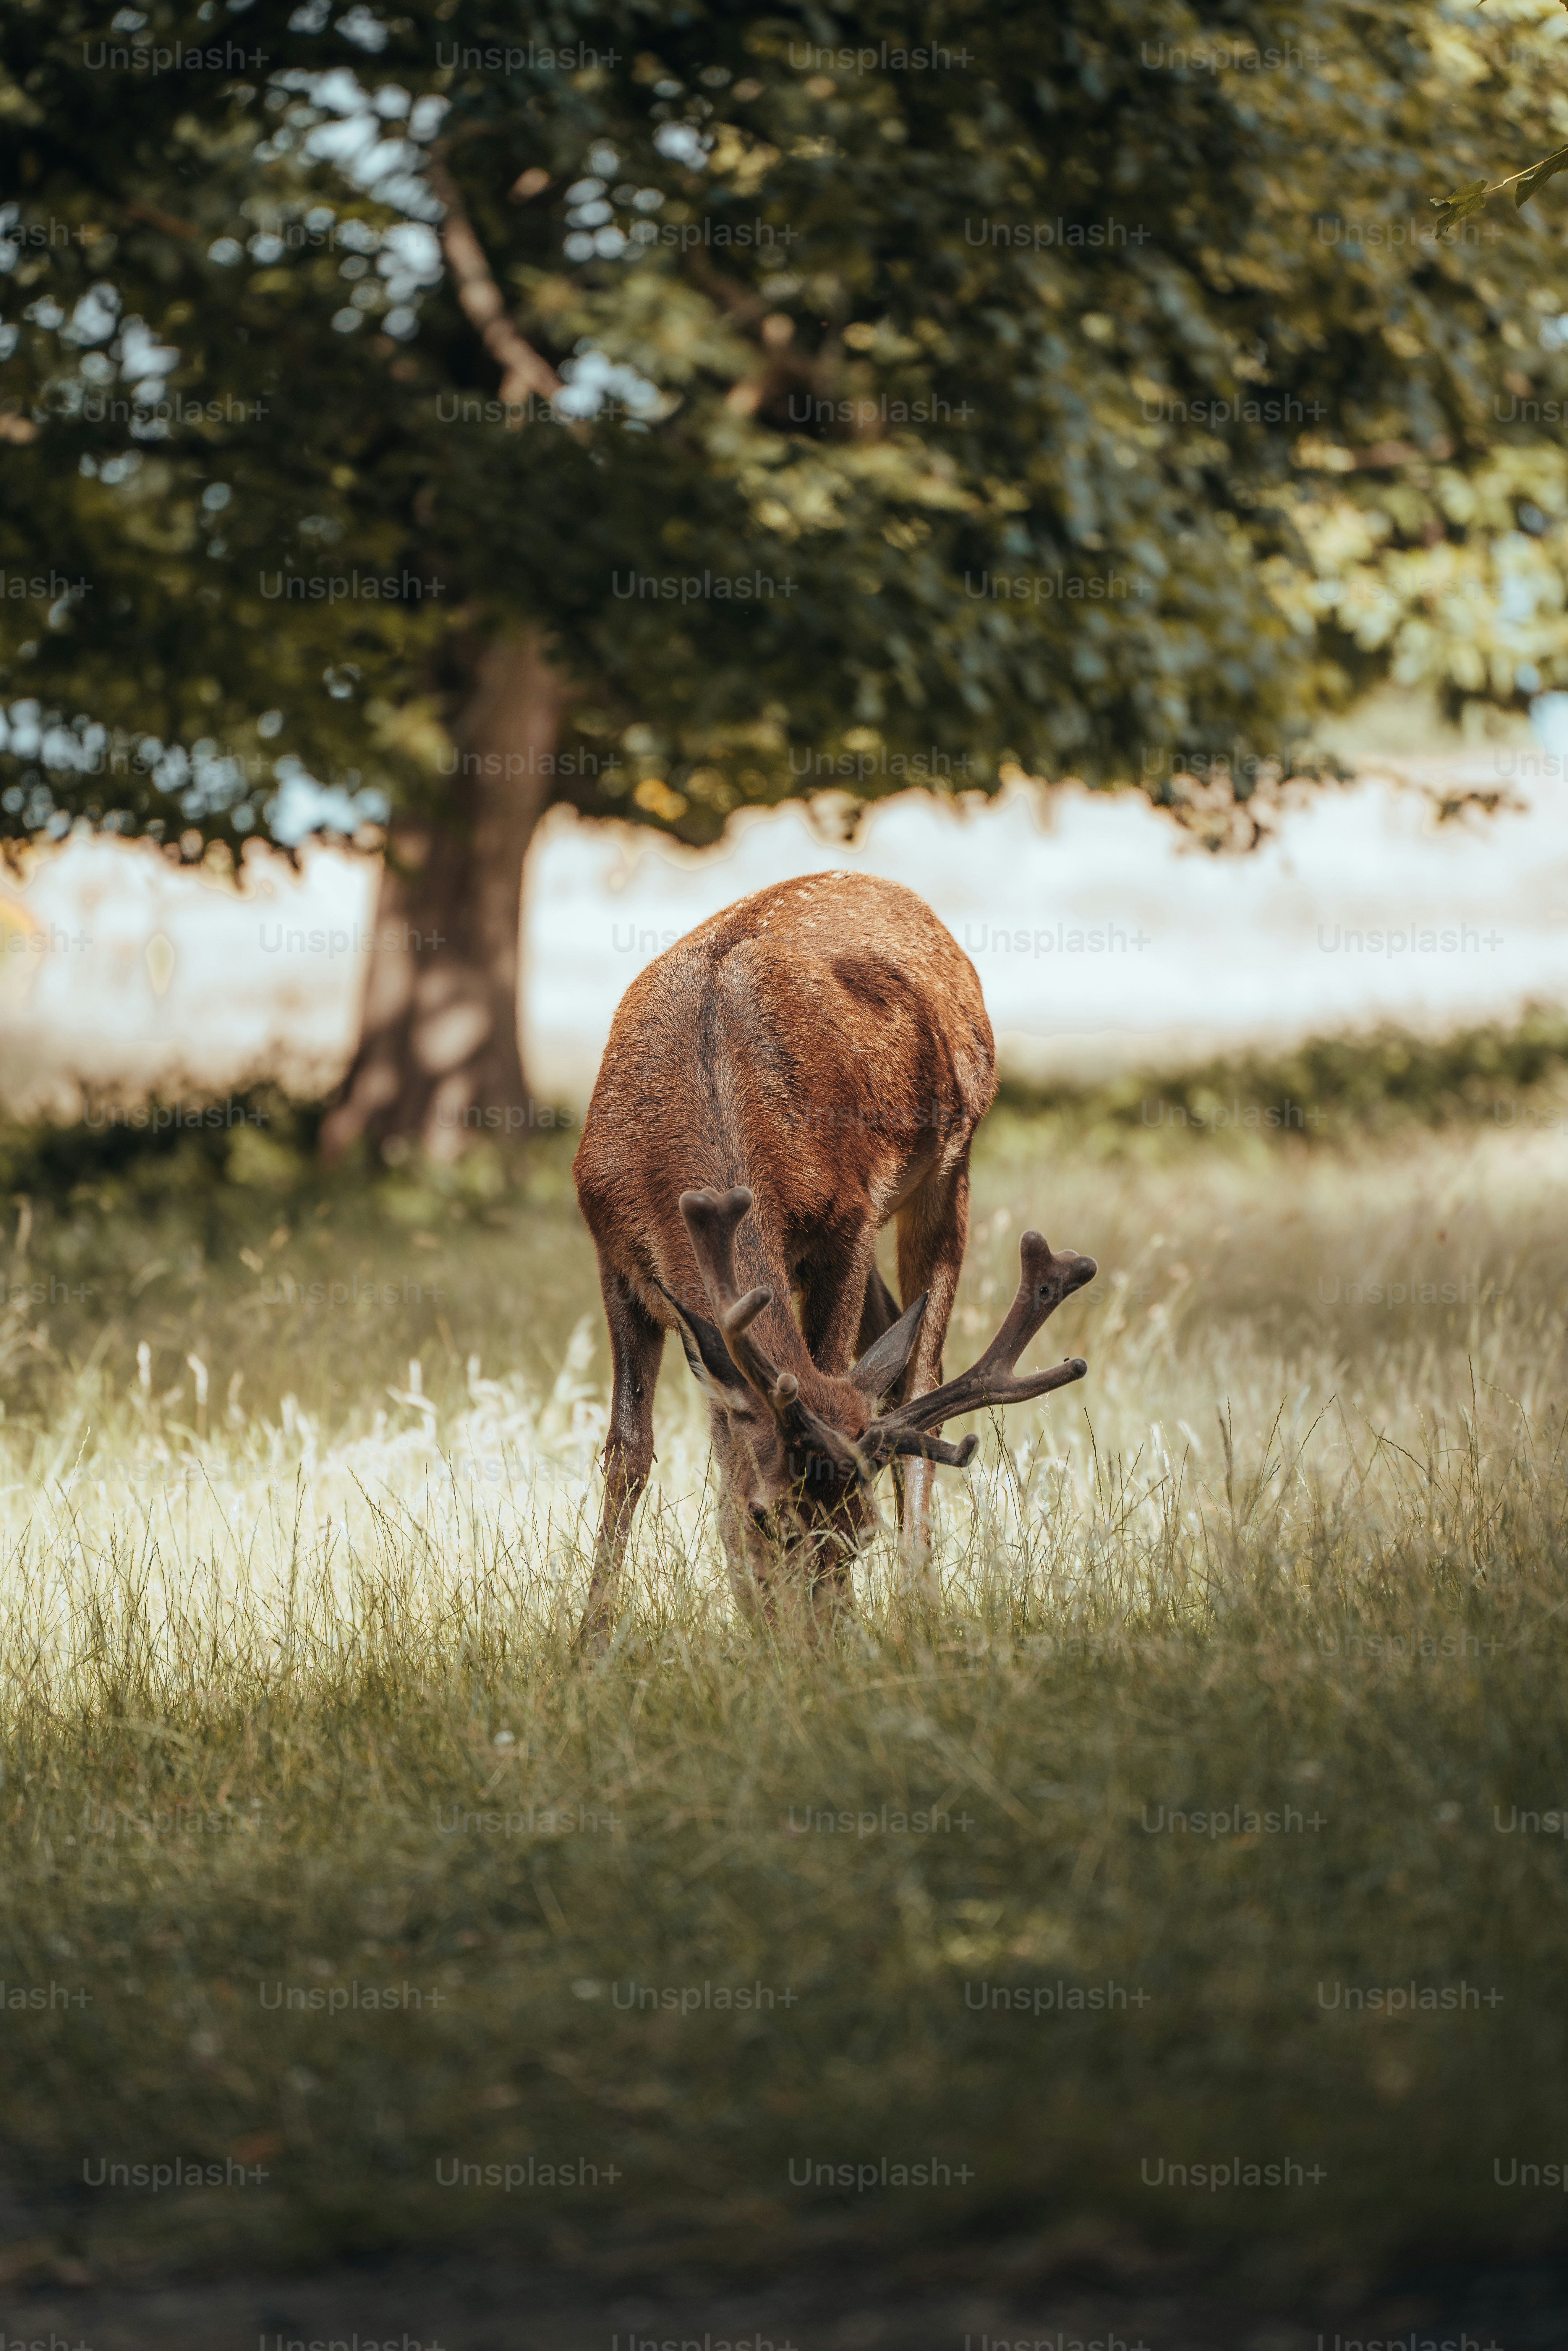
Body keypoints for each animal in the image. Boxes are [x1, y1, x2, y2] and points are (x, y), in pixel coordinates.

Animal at [572, 870, 1096, 1644]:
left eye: (859, 1535)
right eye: (763, 1518)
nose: (815, 1653)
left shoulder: (844, 1226)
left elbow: (831, 1365)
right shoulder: (613, 1254)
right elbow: (629, 1453)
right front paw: (587, 1643)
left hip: (951, 1161)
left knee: (920, 1378)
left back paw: (919, 1604)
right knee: (891, 1344)